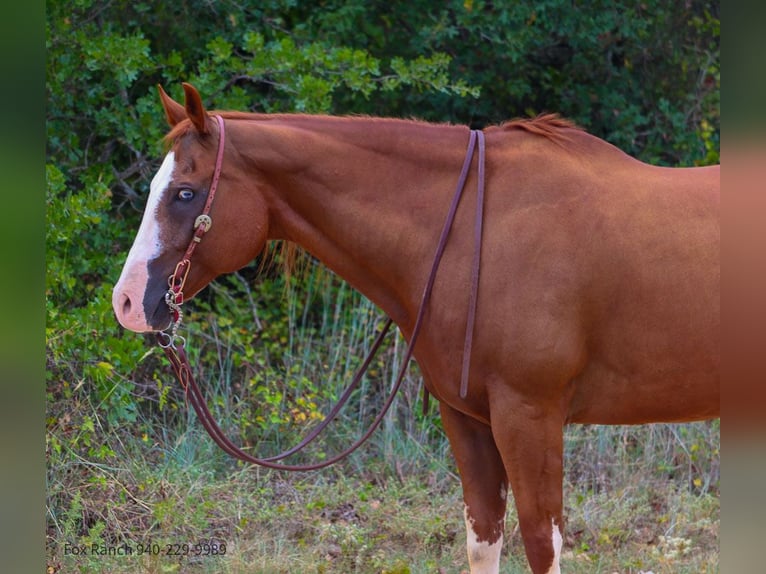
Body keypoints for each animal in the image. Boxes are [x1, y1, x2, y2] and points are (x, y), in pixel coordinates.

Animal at [112, 83, 719, 574]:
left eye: (185, 192)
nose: (126, 302)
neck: (477, 234)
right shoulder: (467, 417)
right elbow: (483, 539)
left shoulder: (531, 416)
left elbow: (541, 546)